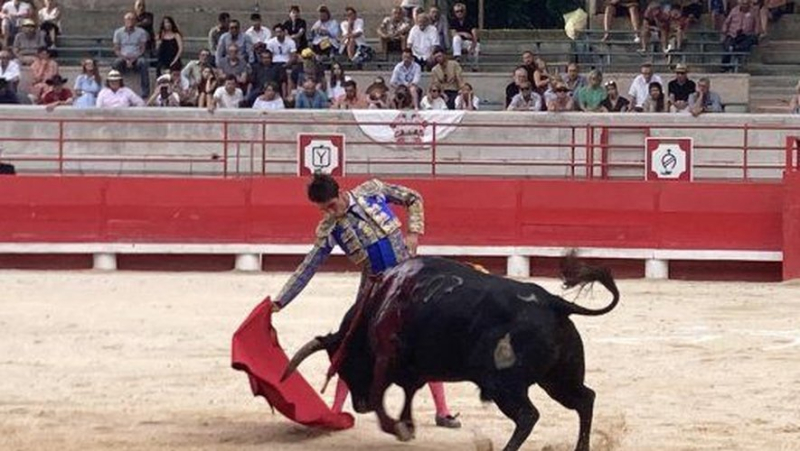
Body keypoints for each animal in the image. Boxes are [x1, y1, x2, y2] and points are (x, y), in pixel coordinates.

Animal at [284, 254, 620, 451]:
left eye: (345, 365)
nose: (359, 405)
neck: (380, 301)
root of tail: (554, 302)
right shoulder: (413, 368)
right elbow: (408, 394)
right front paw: (408, 425)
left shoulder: (385, 357)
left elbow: (383, 395)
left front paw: (398, 428)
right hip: (558, 378)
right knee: (584, 399)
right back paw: (581, 448)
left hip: (505, 384)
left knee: (528, 415)